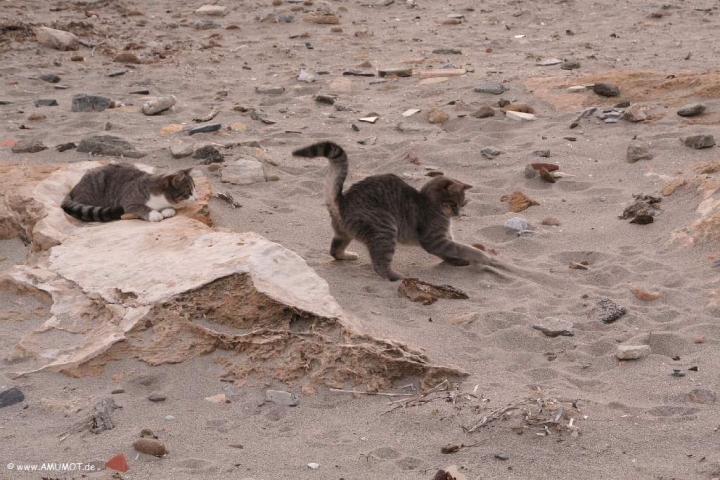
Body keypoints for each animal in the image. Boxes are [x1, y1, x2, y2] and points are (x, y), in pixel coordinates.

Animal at [61, 161, 197, 221]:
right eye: (189, 191)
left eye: (195, 188)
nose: (197, 198)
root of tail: (75, 187)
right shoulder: (128, 201)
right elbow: (142, 207)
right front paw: (154, 214)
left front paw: (167, 210)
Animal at [292, 141, 506, 282]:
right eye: (454, 204)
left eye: (463, 204)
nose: (458, 215)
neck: (431, 204)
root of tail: (342, 200)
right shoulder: (434, 239)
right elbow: (464, 248)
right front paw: (483, 257)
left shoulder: (443, 239)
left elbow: (452, 252)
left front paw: (457, 261)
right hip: (386, 229)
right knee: (379, 265)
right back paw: (399, 277)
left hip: (343, 234)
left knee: (334, 251)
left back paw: (348, 255)